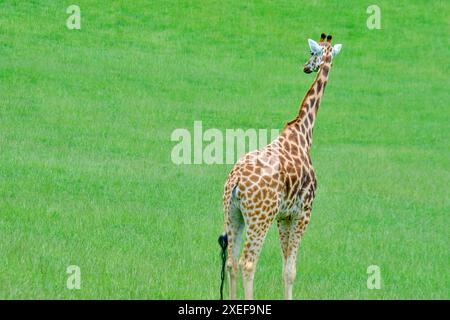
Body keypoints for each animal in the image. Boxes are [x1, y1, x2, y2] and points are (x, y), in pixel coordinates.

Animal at [220, 33, 342, 298]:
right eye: (312, 52)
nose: (306, 67)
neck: (304, 132)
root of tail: (235, 182)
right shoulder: (303, 213)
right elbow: (291, 270)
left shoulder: (283, 216)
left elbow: (284, 268)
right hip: (259, 217)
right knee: (247, 262)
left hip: (232, 213)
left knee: (231, 261)